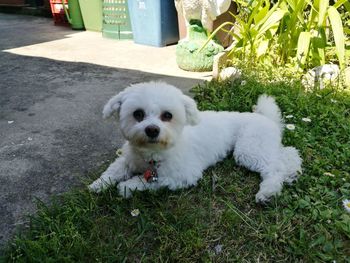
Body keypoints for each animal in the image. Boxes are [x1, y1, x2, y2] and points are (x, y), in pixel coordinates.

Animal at [88, 82, 300, 202]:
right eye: (138, 114)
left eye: (167, 115)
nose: (152, 130)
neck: (151, 155)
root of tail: (266, 117)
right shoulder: (127, 159)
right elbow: (113, 171)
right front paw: (98, 185)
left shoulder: (181, 175)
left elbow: (144, 181)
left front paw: (126, 187)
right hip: (263, 145)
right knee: (288, 154)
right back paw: (292, 174)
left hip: (248, 149)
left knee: (274, 167)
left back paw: (269, 191)